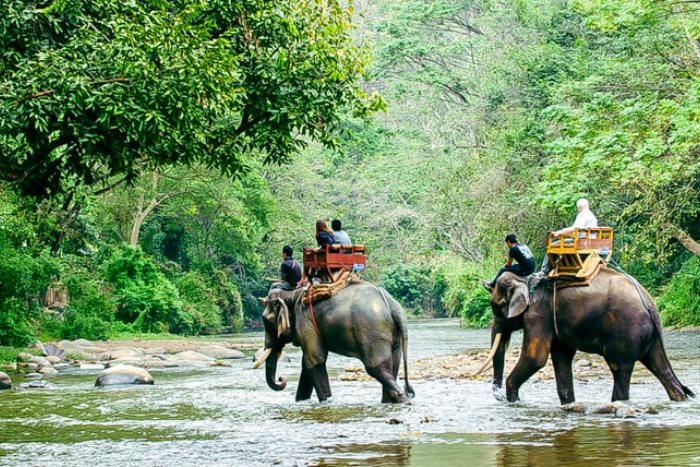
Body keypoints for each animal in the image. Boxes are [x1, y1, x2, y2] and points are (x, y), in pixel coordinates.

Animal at [254, 280, 414, 403]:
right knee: (392, 366)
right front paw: (301, 401)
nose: (281, 379)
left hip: (372, 331)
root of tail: (394, 306)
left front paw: (326, 402)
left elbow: (314, 360)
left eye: (265, 320)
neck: (293, 293)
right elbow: (307, 363)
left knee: (375, 367)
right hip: (390, 334)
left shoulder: (305, 321)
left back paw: (404, 401)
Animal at [481, 269, 694, 404]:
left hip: (624, 329)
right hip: (651, 336)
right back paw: (679, 398)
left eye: (495, 306)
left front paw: (514, 401)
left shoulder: (538, 314)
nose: (498, 396)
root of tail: (650, 303)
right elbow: (561, 356)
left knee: (620, 369)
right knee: (660, 366)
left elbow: (536, 358)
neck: (524, 279)